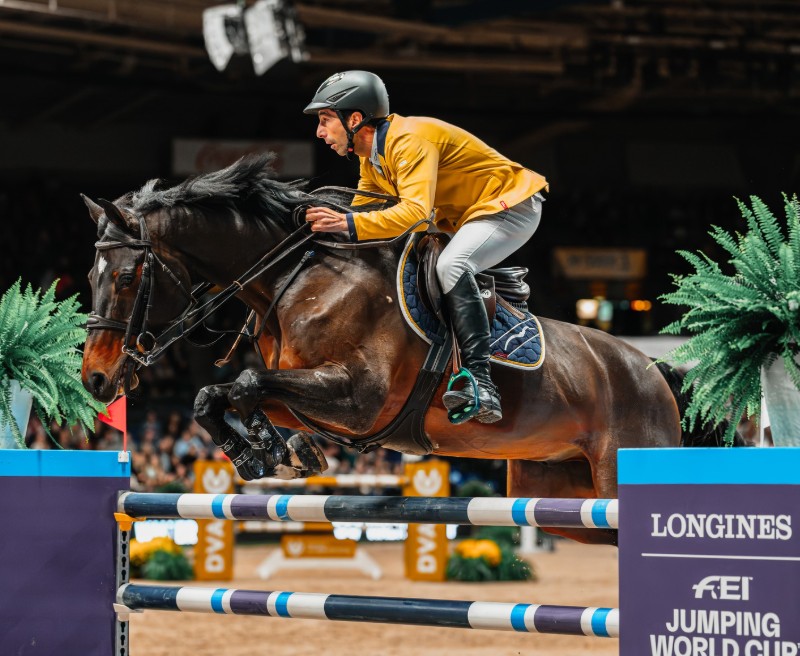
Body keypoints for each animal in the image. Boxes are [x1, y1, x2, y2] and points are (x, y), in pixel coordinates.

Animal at [80, 155, 724, 546]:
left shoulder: (359, 396)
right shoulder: (316, 394)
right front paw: (275, 453)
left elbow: (242, 384)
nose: (95, 380)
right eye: (90, 275)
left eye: (129, 277)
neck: (294, 276)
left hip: (618, 468)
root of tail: (655, 370)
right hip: (559, 494)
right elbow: (216, 395)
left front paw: (267, 448)